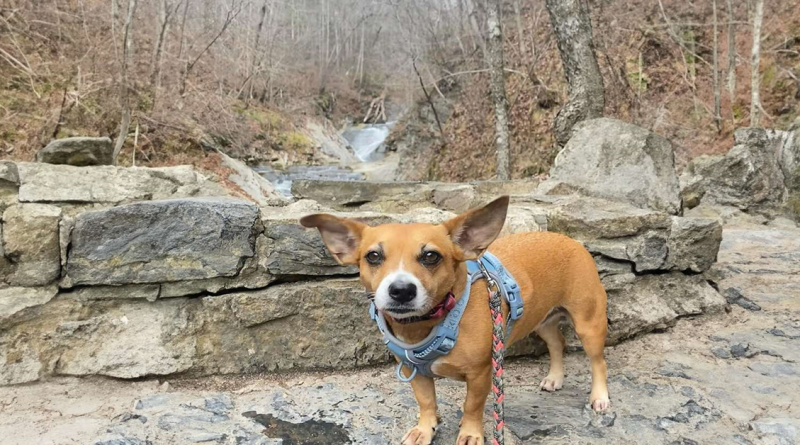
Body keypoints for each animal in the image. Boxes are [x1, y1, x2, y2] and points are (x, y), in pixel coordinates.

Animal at [304, 196, 608, 444]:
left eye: (430, 256)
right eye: (373, 256)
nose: (401, 290)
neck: (426, 325)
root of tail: (568, 239)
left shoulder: (480, 375)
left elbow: (472, 406)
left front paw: (471, 433)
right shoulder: (414, 372)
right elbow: (426, 402)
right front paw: (425, 430)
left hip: (588, 324)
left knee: (597, 361)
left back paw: (600, 397)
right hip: (542, 321)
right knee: (557, 343)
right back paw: (555, 378)